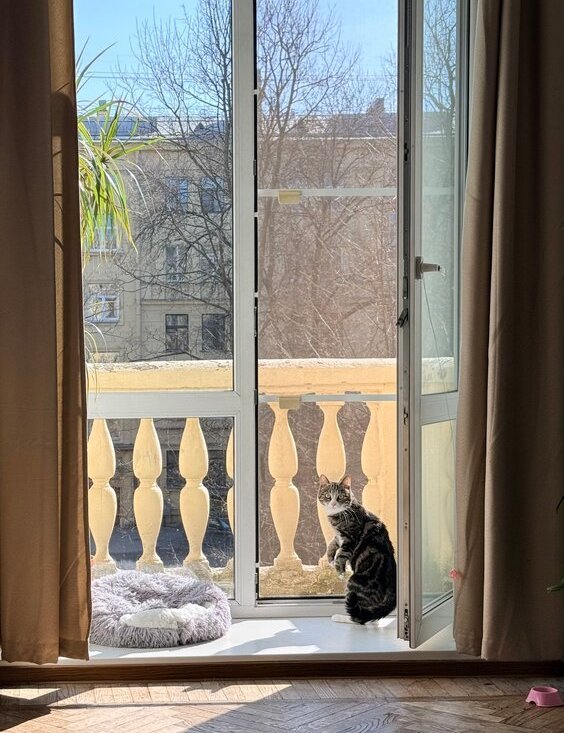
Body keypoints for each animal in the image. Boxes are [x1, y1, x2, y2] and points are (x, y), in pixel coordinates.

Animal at [318, 474, 396, 625]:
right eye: (327, 495)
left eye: (340, 496)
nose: (333, 503)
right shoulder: (339, 537)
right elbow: (332, 543)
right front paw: (330, 558)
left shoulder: (351, 540)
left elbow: (341, 555)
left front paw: (340, 572)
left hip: (356, 582)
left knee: (360, 618)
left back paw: (341, 617)